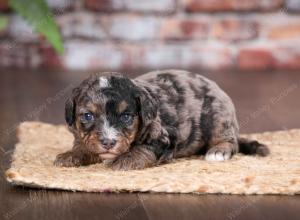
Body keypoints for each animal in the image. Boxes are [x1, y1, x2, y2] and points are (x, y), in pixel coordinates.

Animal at [54, 69, 270, 169]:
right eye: (87, 115)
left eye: (126, 117)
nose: (108, 142)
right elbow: (83, 144)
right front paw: (71, 154)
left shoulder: (164, 138)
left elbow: (144, 148)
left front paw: (126, 159)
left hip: (218, 116)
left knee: (229, 141)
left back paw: (218, 152)